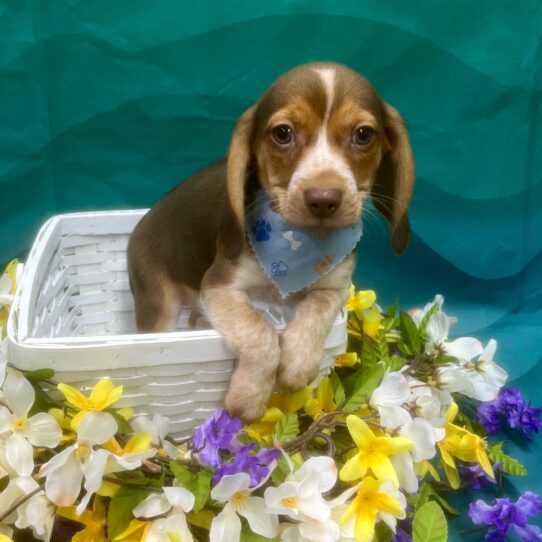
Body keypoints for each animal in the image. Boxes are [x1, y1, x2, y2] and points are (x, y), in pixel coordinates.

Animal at [129, 61, 416, 422]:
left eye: (363, 134)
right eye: (283, 133)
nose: (324, 199)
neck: (299, 246)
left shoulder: (335, 287)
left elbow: (316, 308)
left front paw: (297, 362)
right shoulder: (219, 286)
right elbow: (260, 332)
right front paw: (248, 397)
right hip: (160, 306)